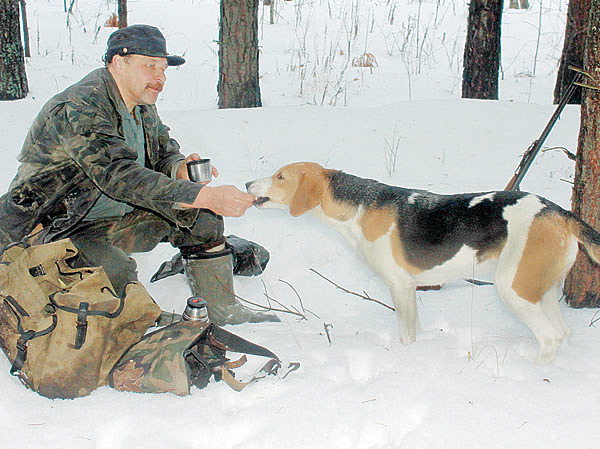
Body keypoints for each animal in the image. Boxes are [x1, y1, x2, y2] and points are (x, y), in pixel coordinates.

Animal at [246, 162, 600, 364]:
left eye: (280, 177)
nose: (248, 184)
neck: (360, 207)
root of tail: (559, 212)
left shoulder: (399, 287)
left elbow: (405, 334)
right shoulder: (411, 289)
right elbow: (416, 329)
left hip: (513, 288)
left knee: (550, 339)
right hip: (541, 289)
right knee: (565, 333)